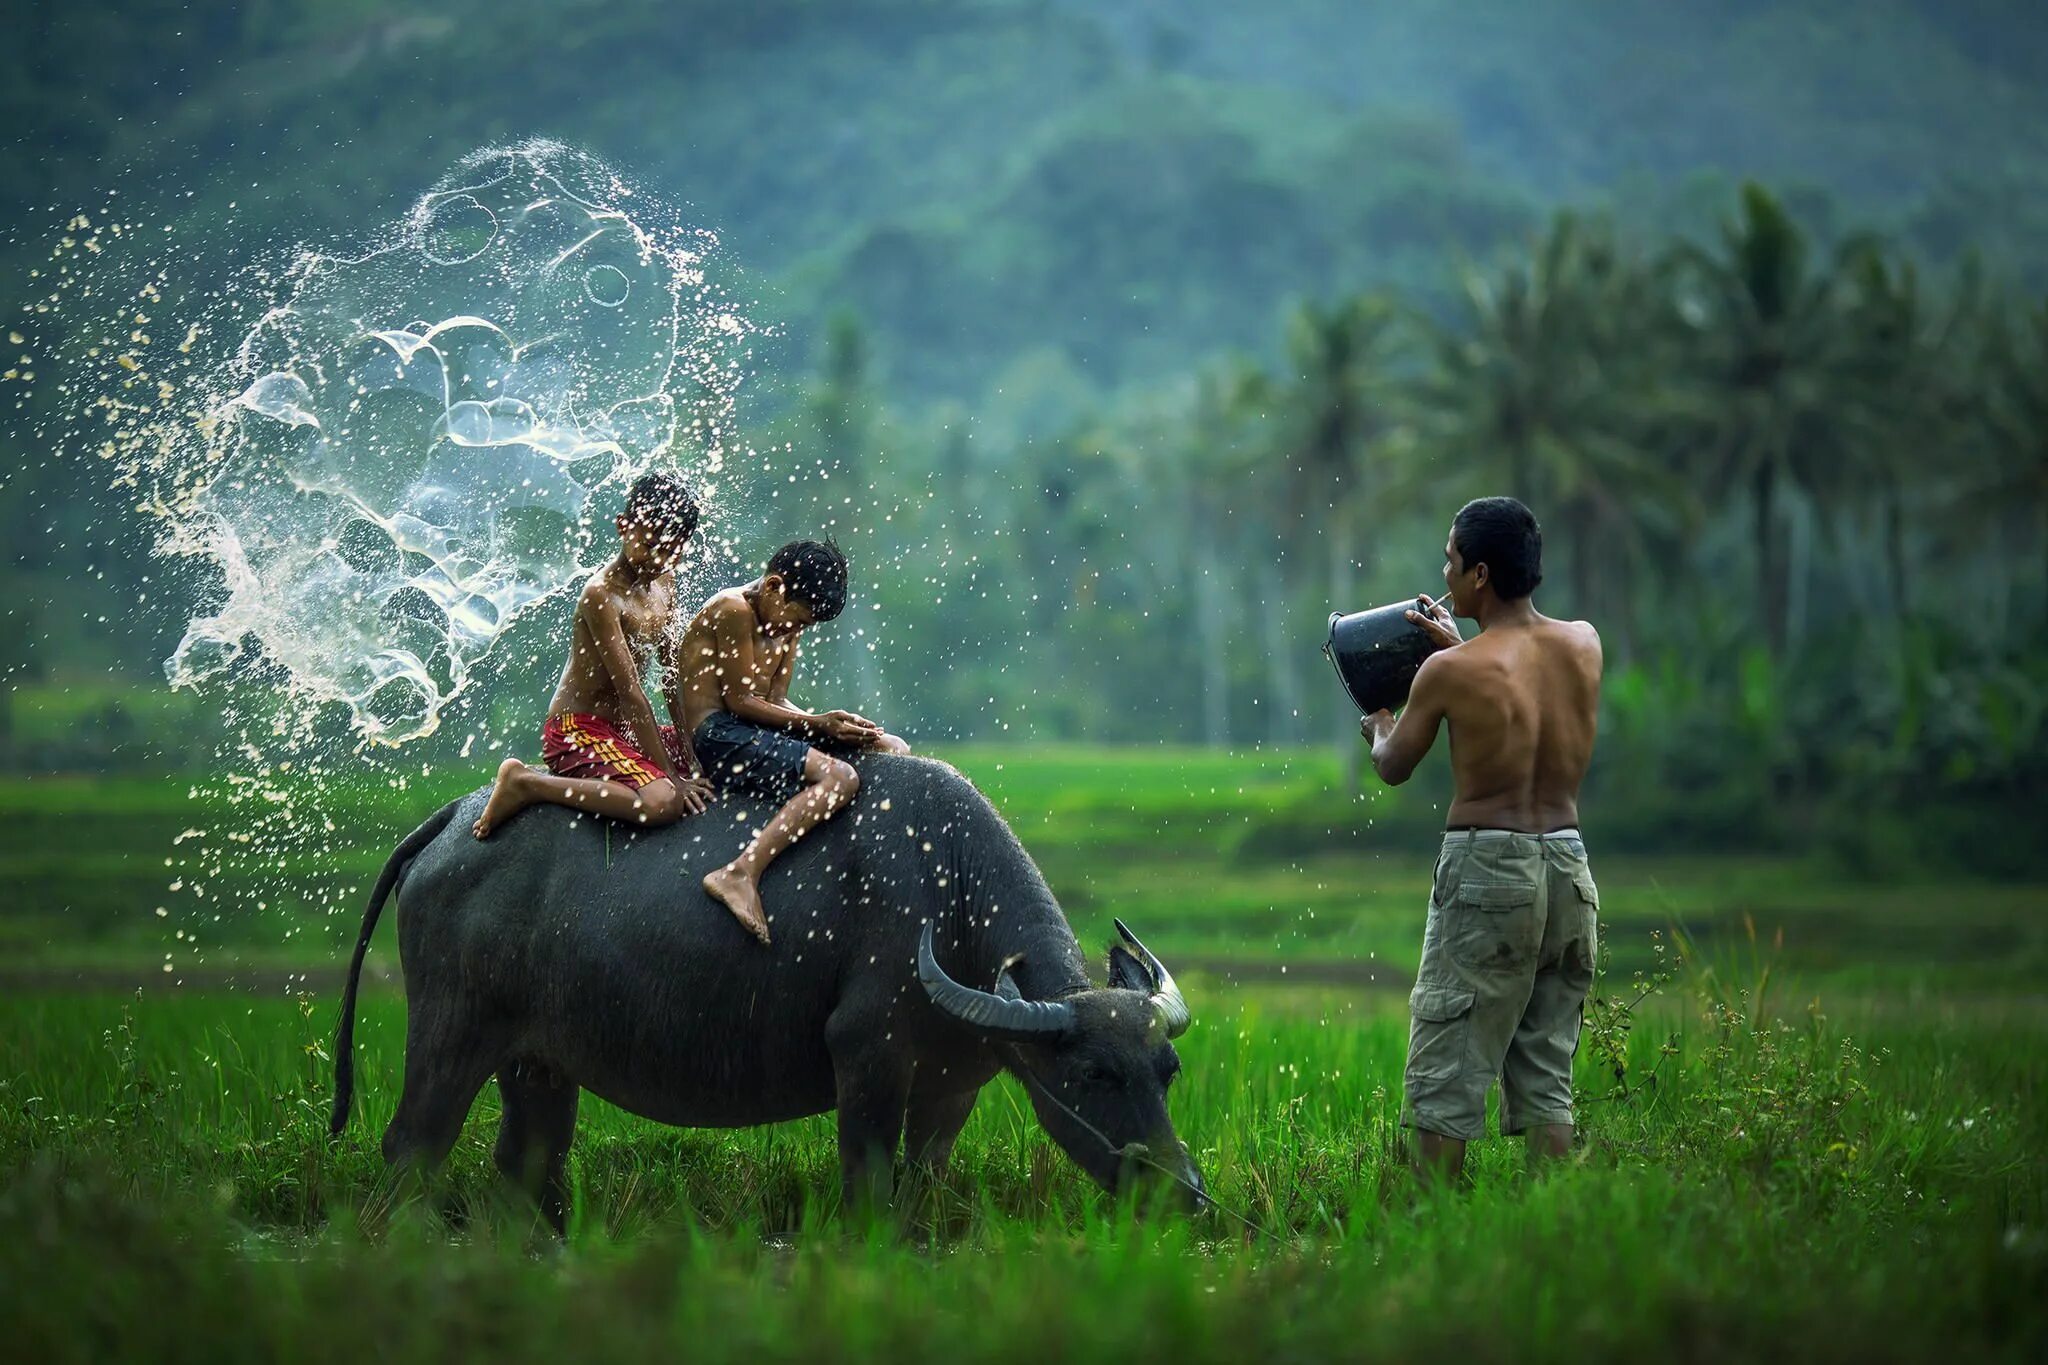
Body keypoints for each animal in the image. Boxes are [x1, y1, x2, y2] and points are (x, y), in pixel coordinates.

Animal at [323, 753, 1196, 1236]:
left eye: (1168, 1072)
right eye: (1093, 1075)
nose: (1180, 1193)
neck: (948, 890)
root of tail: (450, 820)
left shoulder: (953, 1088)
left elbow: (922, 1182)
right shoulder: (867, 1055)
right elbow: (868, 1179)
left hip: (537, 1061)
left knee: (527, 1157)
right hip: (450, 1031)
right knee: (413, 1145)